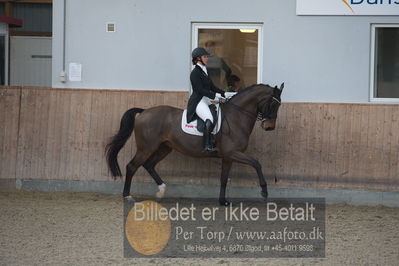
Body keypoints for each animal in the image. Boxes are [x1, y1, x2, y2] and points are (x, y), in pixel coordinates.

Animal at [104, 83, 282, 206]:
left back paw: (161, 190)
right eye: (273, 104)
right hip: (146, 147)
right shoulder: (233, 153)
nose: (269, 127)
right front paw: (264, 191)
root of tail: (144, 112)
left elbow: (224, 178)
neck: (236, 117)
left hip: (164, 148)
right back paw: (127, 196)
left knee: (149, 165)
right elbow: (256, 163)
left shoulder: (228, 156)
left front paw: (223, 201)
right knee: (132, 166)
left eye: (279, 104)